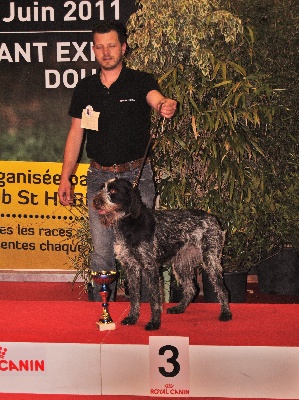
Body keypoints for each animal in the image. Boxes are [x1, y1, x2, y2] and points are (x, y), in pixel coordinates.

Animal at [92, 179, 233, 332]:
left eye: (113, 191)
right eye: (101, 188)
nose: (95, 201)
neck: (129, 223)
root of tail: (212, 217)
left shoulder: (150, 267)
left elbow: (154, 299)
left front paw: (154, 322)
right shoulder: (131, 267)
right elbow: (134, 297)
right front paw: (132, 318)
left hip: (210, 260)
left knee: (223, 289)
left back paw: (226, 313)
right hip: (180, 263)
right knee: (191, 288)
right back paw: (179, 308)